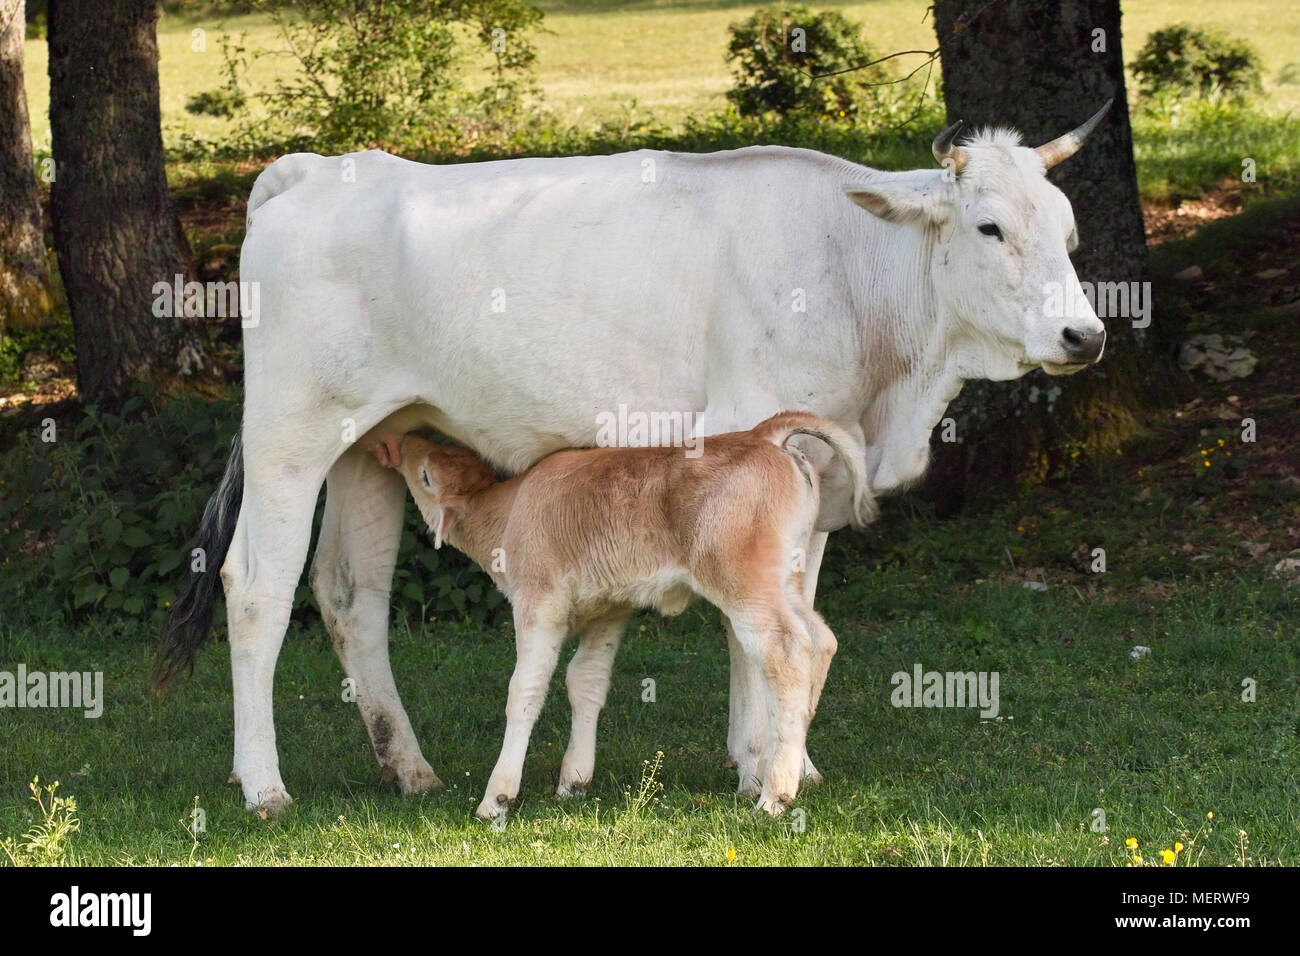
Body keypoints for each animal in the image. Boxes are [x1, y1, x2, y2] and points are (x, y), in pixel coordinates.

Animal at [156, 103, 1111, 813]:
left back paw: (411, 768)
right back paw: (264, 784)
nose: (1085, 334)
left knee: (352, 595)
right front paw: (760, 763)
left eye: (1069, 232)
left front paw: (787, 760)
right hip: (290, 435)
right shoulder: (750, 439)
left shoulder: (814, 484)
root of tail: (316, 169)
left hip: (370, 443)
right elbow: (749, 626)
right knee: (257, 587)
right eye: (989, 227)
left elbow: (793, 608)